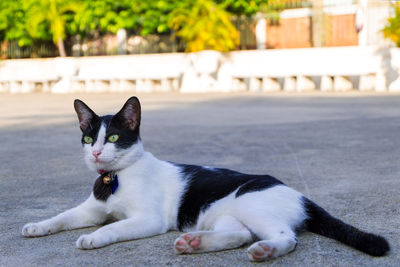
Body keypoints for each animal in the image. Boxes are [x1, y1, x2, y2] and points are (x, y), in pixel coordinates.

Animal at [20, 96, 390, 262]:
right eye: (88, 138)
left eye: (112, 138)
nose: (96, 153)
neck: (114, 178)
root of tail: (300, 195)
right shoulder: (89, 210)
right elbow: (62, 217)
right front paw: (37, 226)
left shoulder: (149, 219)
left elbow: (114, 227)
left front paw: (93, 238)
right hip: (223, 215)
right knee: (239, 234)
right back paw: (195, 243)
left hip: (251, 205)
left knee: (286, 237)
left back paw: (266, 250)